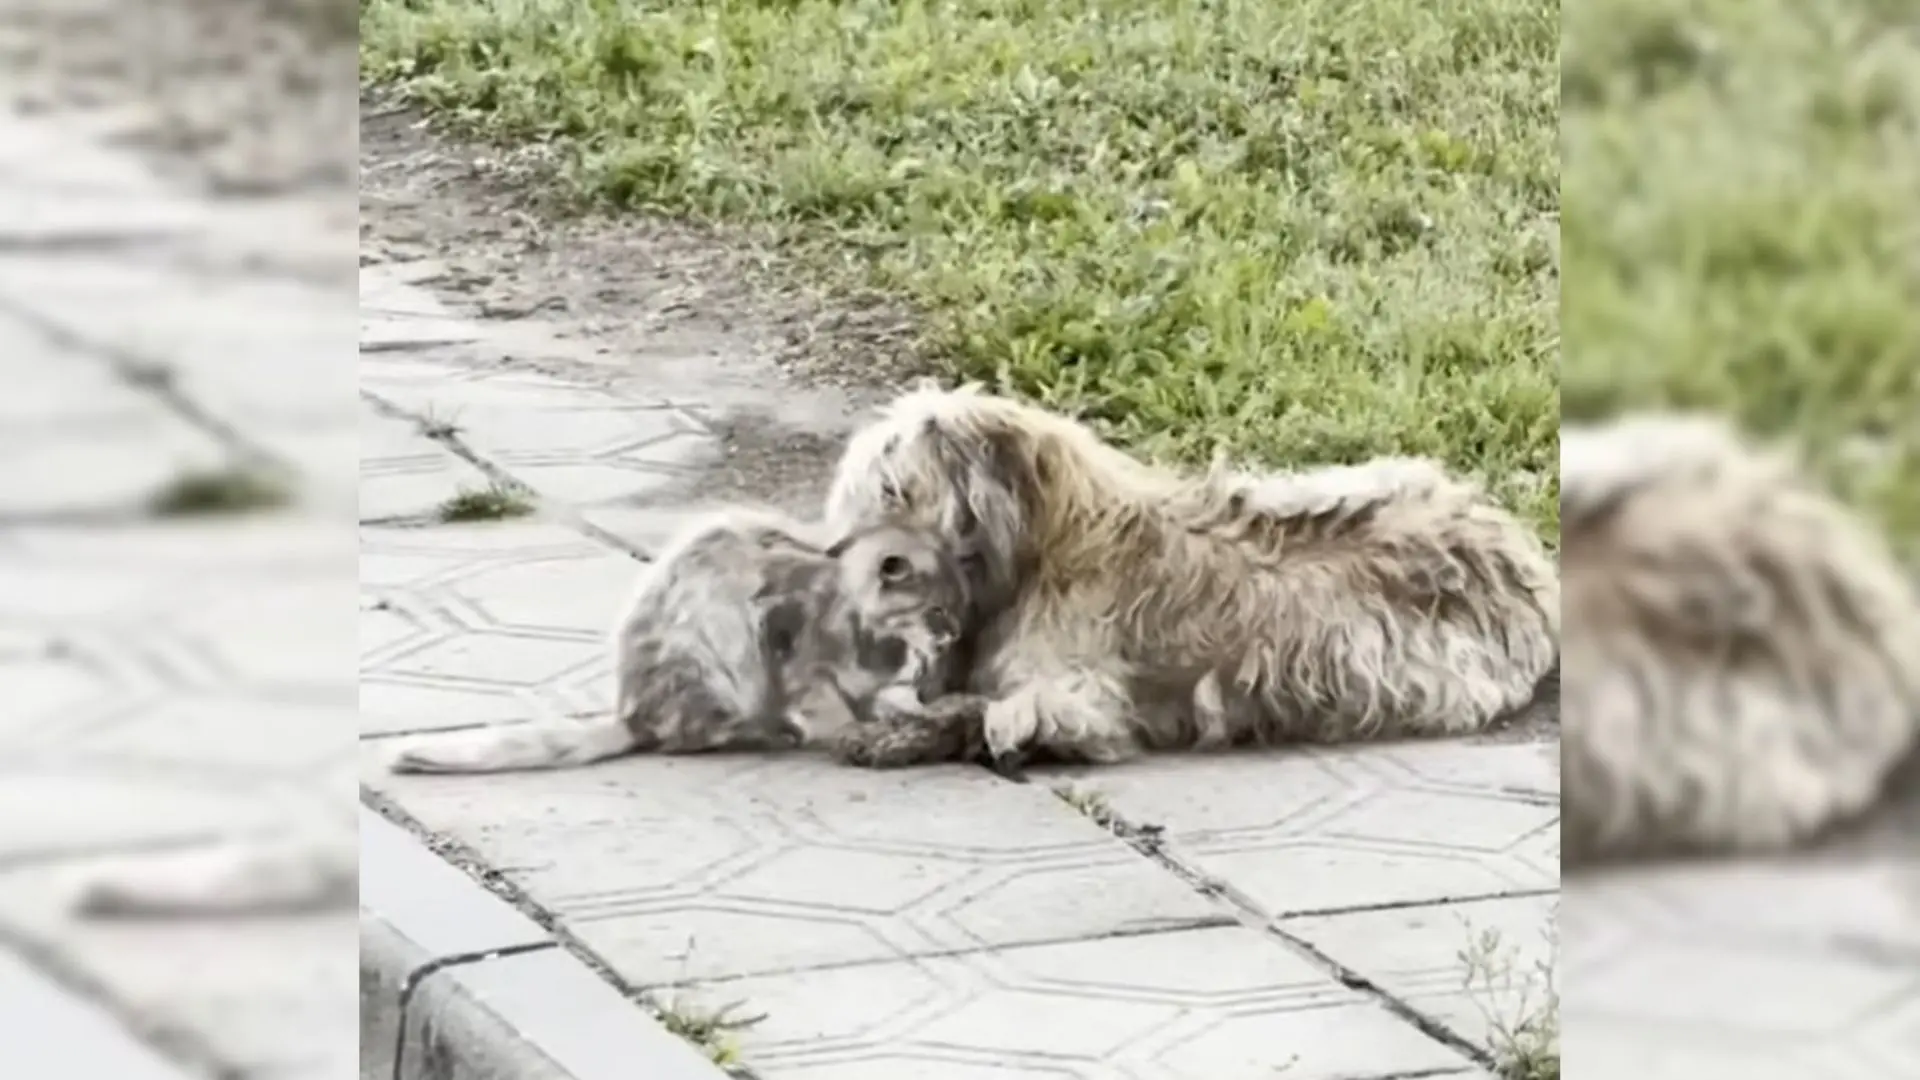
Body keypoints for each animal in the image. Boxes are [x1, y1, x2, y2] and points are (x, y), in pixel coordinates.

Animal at [821, 380, 1559, 764]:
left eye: (892, 489)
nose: (835, 556)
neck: (1045, 541)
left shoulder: (1073, 694)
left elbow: (996, 713)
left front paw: (898, 730)